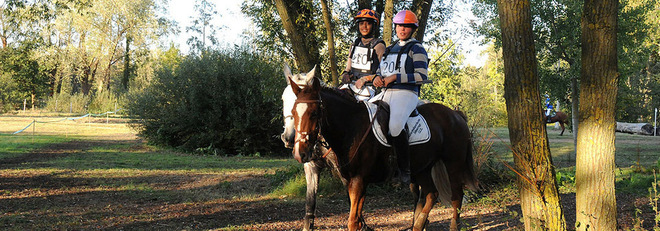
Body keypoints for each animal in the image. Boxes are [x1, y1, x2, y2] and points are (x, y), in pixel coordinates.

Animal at [288, 67, 474, 231]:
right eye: (294, 112)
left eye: (313, 113)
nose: (299, 153)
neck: (352, 126)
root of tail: (456, 115)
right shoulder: (355, 182)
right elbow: (357, 220)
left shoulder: (358, 180)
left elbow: (353, 222)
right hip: (423, 167)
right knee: (430, 194)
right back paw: (418, 225)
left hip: (453, 164)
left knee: (456, 197)